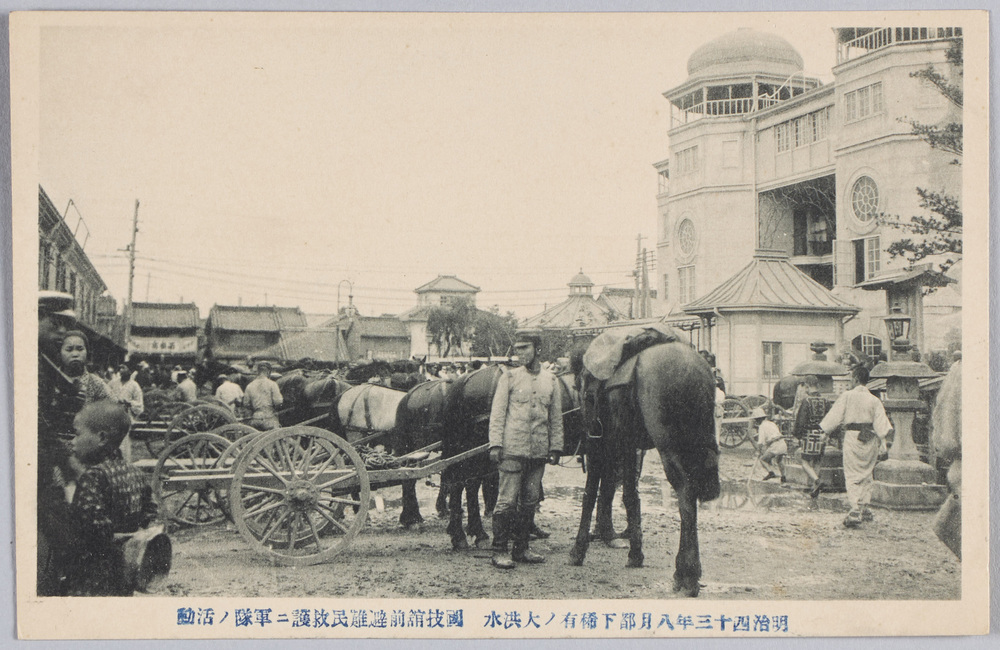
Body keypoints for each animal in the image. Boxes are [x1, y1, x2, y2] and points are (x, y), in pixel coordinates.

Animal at [572, 340, 720, 596]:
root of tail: (695, 371)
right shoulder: (628, 444)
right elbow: (630, 495)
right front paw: (635, 553)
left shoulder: (597, 442)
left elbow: (590, 494)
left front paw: (578, 550)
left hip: (668, 446)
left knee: (686, 495)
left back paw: (686, 574)